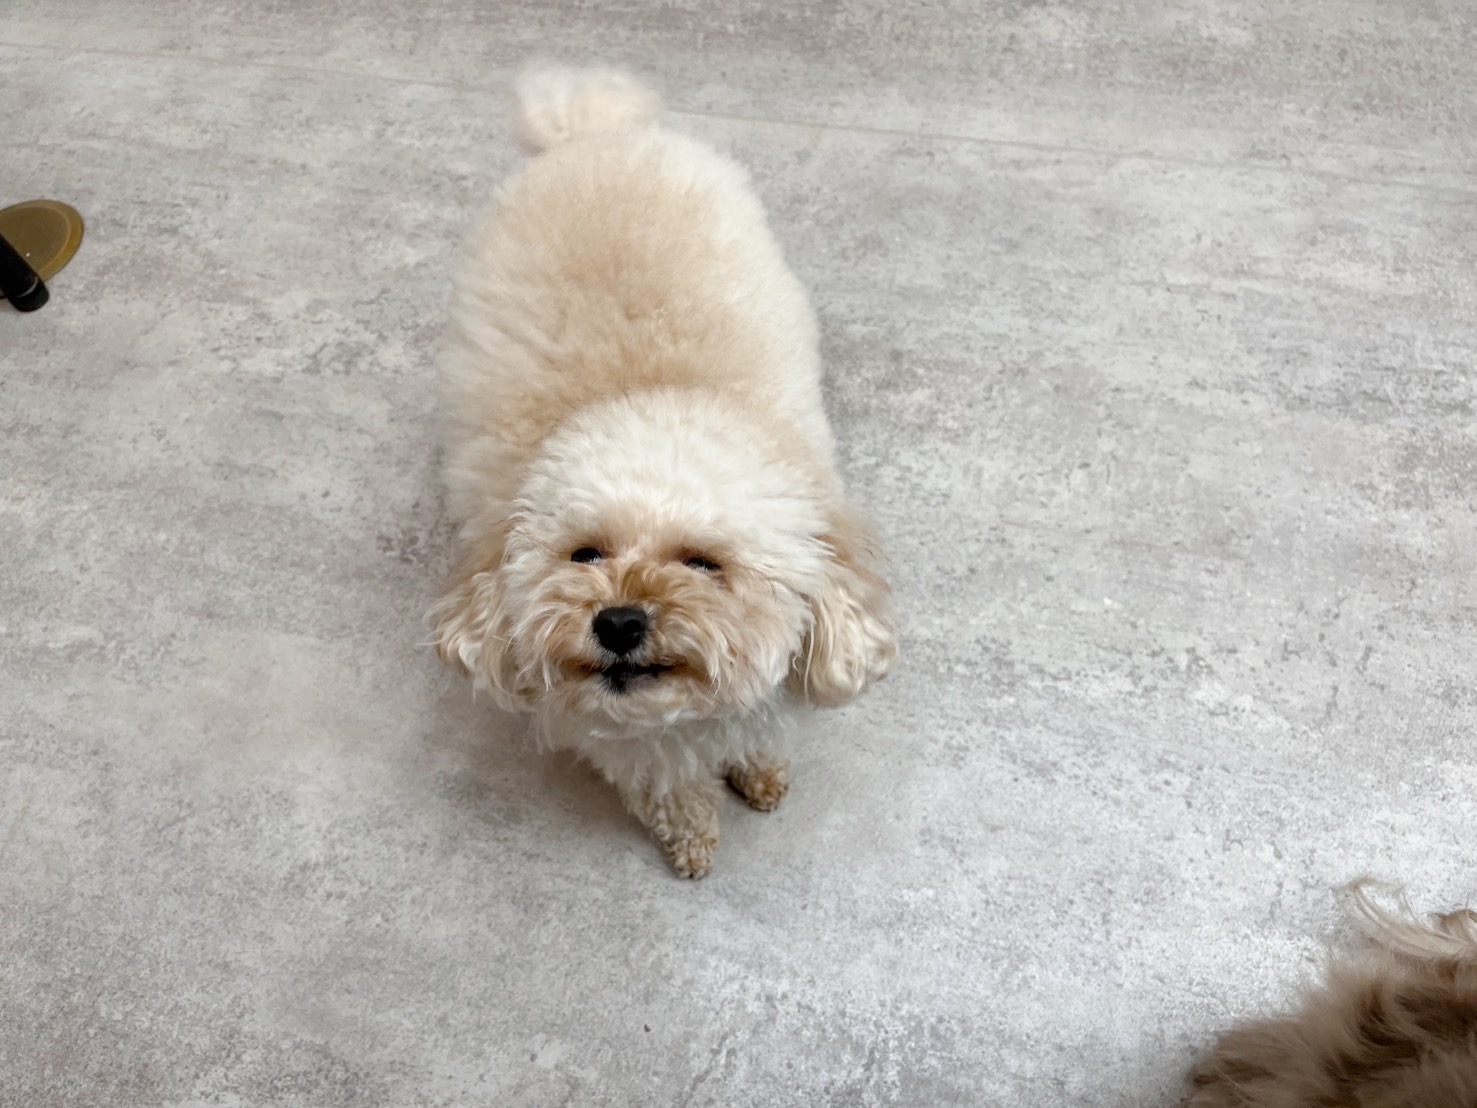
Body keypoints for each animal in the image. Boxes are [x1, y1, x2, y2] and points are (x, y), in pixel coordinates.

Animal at [432, 66, 897, 878]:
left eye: (704, 563)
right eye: (585, 554)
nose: (618, 621)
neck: (656, 388)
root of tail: (597, 133)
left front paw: (759, 768)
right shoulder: (626, 737)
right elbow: (669, 785)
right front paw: (691, 836)